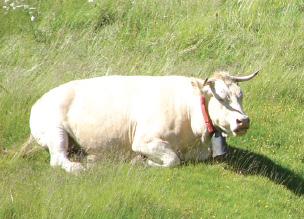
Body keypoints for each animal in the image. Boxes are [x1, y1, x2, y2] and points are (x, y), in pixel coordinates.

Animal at [25, 70, 258, 173]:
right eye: (221, 97)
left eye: (240, 96)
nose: (243, 121)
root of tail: (38, 102)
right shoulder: (144, 141)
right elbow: (173, 159)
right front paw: (142, 161)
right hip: (54, 131)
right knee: (57, 159)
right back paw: (78, 167)